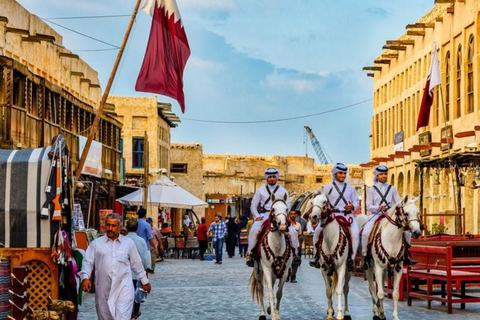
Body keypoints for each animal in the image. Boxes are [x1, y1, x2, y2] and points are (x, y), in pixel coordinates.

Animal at [251, 192, 292, 320]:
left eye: (286, 209)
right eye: (273, 209)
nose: (283, 225)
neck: (277, 247)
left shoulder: (285, 272)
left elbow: (279, 293)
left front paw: (276, 313)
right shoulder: (267, 270)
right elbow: (269, 292)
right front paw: (273, 315)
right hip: (257, 269)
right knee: (260, 289)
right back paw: (263, 313)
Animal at [310, 192, 350, 320]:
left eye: (324, 202)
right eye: (312, 202)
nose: (313, 217)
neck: (330, 241)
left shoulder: (341, 267)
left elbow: (339, 290)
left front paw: (339, 313)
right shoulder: (324, 269)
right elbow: (328, 291)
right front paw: (330, 313)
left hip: (348, 270)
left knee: (346, 289)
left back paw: (346, 312)